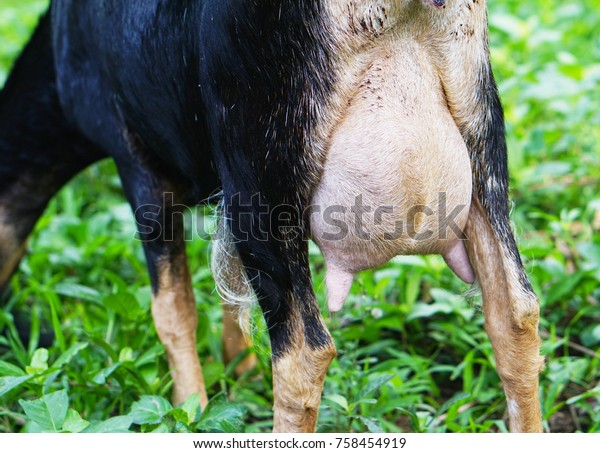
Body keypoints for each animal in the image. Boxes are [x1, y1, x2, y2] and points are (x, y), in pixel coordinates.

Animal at [0, 0, 544, 430]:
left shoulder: (139, 160)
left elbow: (173, 310)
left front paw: (191, 410)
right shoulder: (217, 185)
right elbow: (227, 287)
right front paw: (235, 379)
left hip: (262, 167)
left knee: (303, 352)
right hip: (482, 135)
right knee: (515, 314)